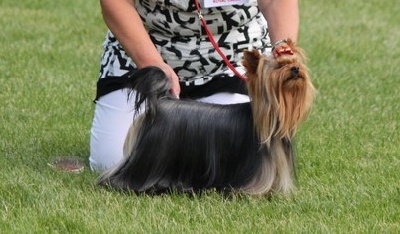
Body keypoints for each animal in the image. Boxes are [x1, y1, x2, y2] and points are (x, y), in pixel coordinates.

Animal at [98, 39, 314, 196]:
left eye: (295, 63)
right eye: (278, 67)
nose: (295, 69)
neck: (272, 121)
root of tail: (161, 101)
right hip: (149, 157)